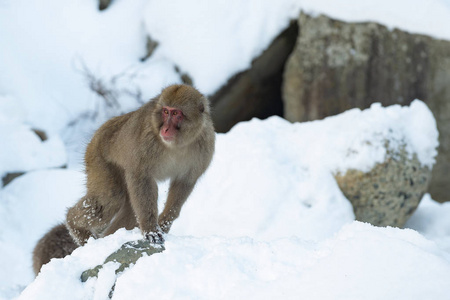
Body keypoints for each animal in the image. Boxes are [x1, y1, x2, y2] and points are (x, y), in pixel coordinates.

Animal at [31, 84, 214, 274]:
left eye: (176, 113)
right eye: (165, 111)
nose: (165, 129)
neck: (177, 145)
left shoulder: (205, 147)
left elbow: (184, 183)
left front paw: (164, 223)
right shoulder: (146, 142)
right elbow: (140, 176)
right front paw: (151, 230)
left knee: (128, 209)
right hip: (98, 158)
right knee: (111, 199)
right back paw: (75, 225)